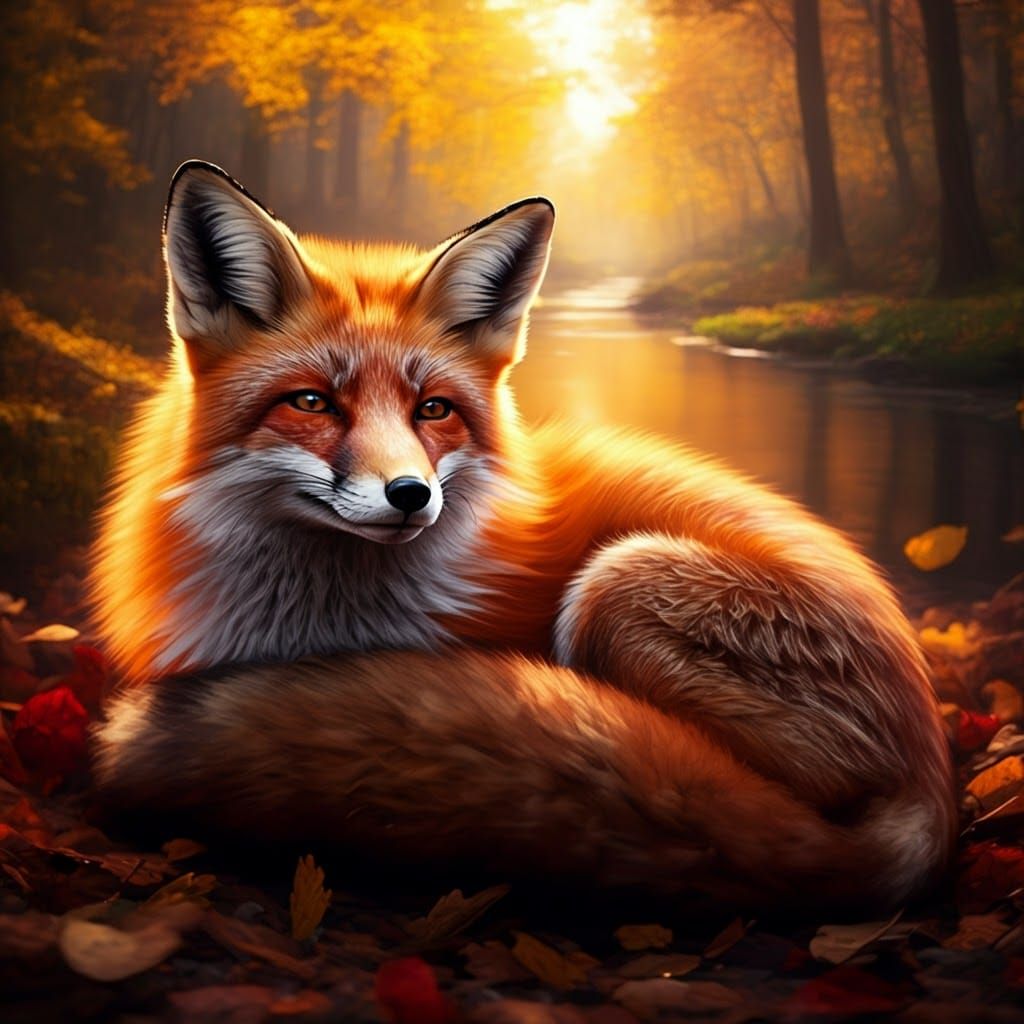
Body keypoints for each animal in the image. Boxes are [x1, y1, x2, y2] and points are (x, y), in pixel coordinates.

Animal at [91, 160, 955, 911]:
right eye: (312, 403)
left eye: (433, 410)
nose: (411, 495)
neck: (319, 629)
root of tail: (931, 773)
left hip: (621, 583)